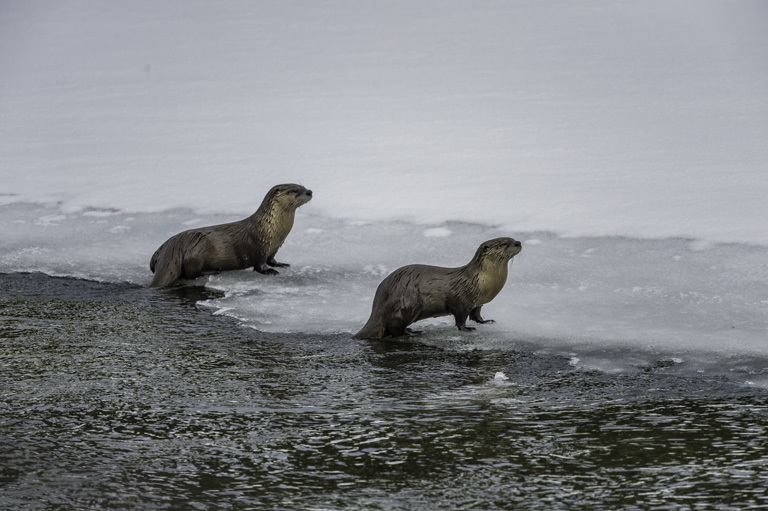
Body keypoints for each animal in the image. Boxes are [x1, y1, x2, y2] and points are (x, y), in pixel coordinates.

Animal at [150, 184, 312, 288]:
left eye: (302, 186)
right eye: (294, 190)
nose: (309, 191)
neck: (270, 228)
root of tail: (168, 250)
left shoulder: (275, 246)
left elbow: (271, 259)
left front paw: (280, 264)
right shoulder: (259, 245)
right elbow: (259, 265)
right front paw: (270, 271)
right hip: (197, 249)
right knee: (191, 273)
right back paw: (214, 271)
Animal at [352, 237, 520, 340]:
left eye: (512, 239)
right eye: (504, 243)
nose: (518, 242)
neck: (480, 280)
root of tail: (377, 307)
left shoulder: (478, 302)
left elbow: (476, 315)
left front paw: (486, 322)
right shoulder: (461, 301)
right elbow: (460, 319)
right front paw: (467, 329)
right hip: (408, 303)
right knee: (395, 329)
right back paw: (413, 333)